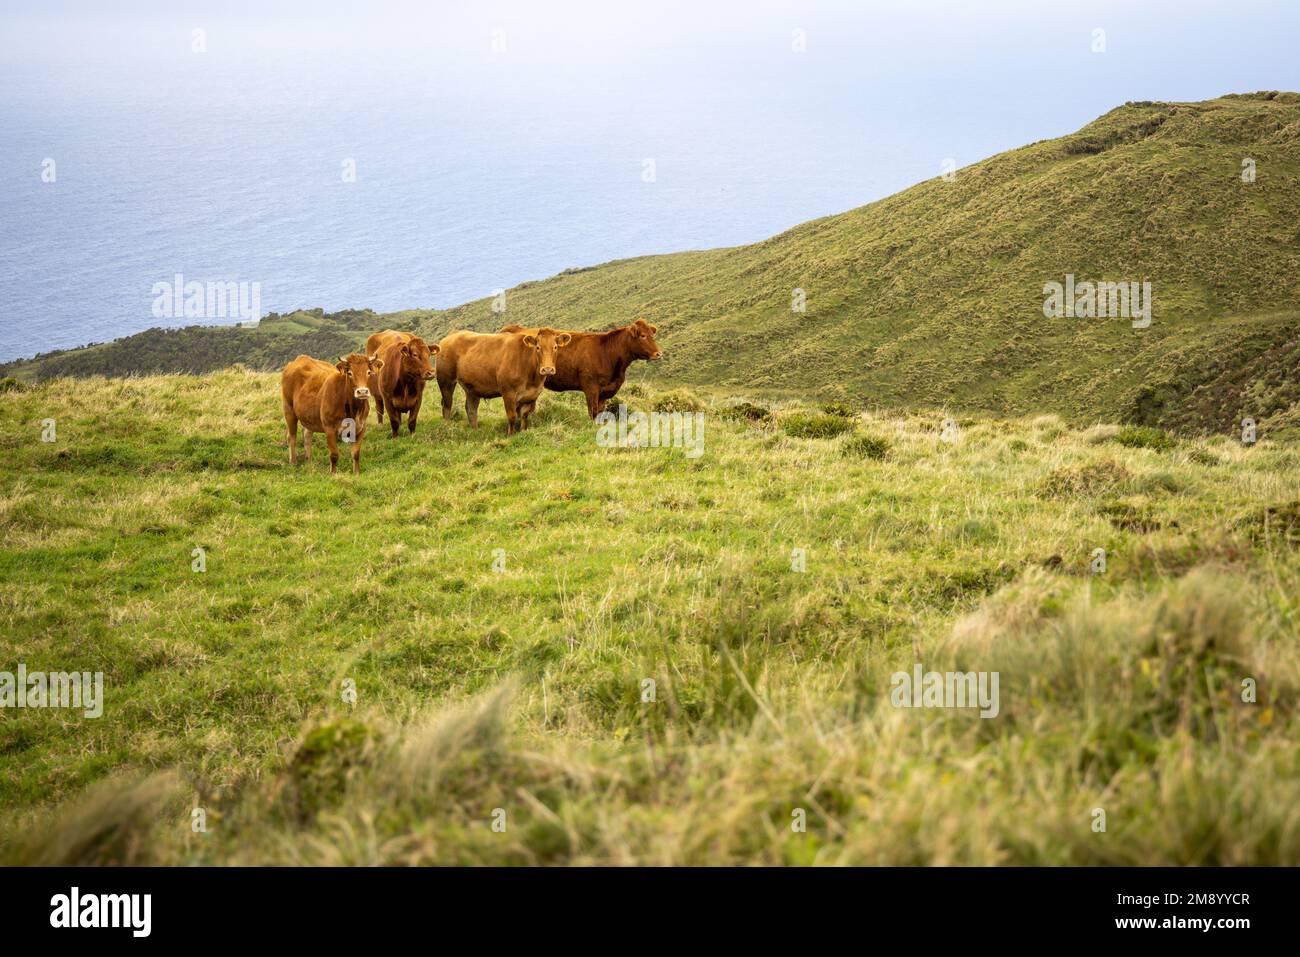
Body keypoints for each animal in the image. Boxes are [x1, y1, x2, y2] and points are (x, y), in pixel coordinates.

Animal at [436, 327, 569, 434]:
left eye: (555, 347)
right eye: (538, 347)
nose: (547, 369)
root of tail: (452, 335)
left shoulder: (532, 395)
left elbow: (524, 415)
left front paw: (523, 431)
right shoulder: (508, 392)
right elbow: (512, 416)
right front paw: (510, 435)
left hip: (472, 387)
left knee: (471, 409)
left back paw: (475, 430)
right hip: (446, 380)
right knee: (447, 405)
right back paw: (446, 427)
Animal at [496, 319, 660, 416]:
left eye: (652, 335)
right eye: (643, 335)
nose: (659, 353)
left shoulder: (605, 391)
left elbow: (600, 412)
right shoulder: (591, 387)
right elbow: (593, 412)